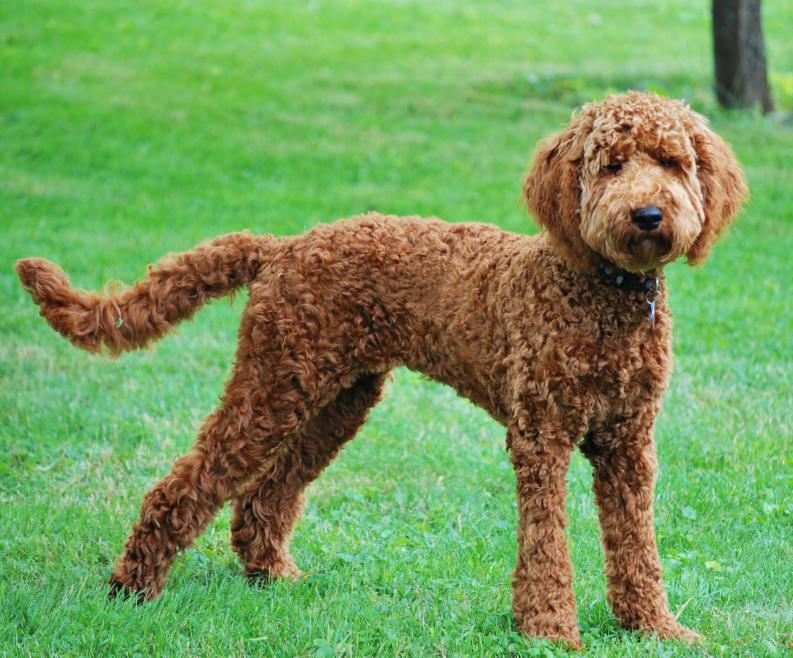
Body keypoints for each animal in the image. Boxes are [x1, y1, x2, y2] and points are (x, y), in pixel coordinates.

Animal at [13, 91, 744, 644]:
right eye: (610, 164)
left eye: (672, 161)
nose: (647, 213)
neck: (600, 292)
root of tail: (282, 246)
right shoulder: (541, 438)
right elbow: (546, 547)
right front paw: (549, 631)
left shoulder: (629, 445)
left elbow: (637, 546)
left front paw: (654, 627)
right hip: (272, 387)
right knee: (185, 487)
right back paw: (133, 587)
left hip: (334, 398)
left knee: (264, 495)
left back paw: (270, 575)